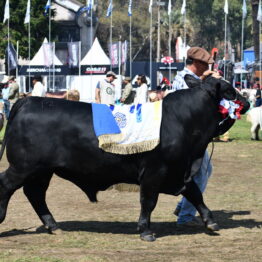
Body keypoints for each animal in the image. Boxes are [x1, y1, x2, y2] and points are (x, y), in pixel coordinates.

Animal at [0, 74, 250, 241]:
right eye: (230, 91)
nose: (246, 102)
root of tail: (28, 100)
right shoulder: (154, 171)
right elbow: (148, 201)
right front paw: (146, 230)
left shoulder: (179, 171)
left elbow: (195, 193)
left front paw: (210, 221)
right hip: (24, 166)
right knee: (7, 185)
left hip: (43, 170)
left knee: (35, 194)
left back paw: (53, 225)